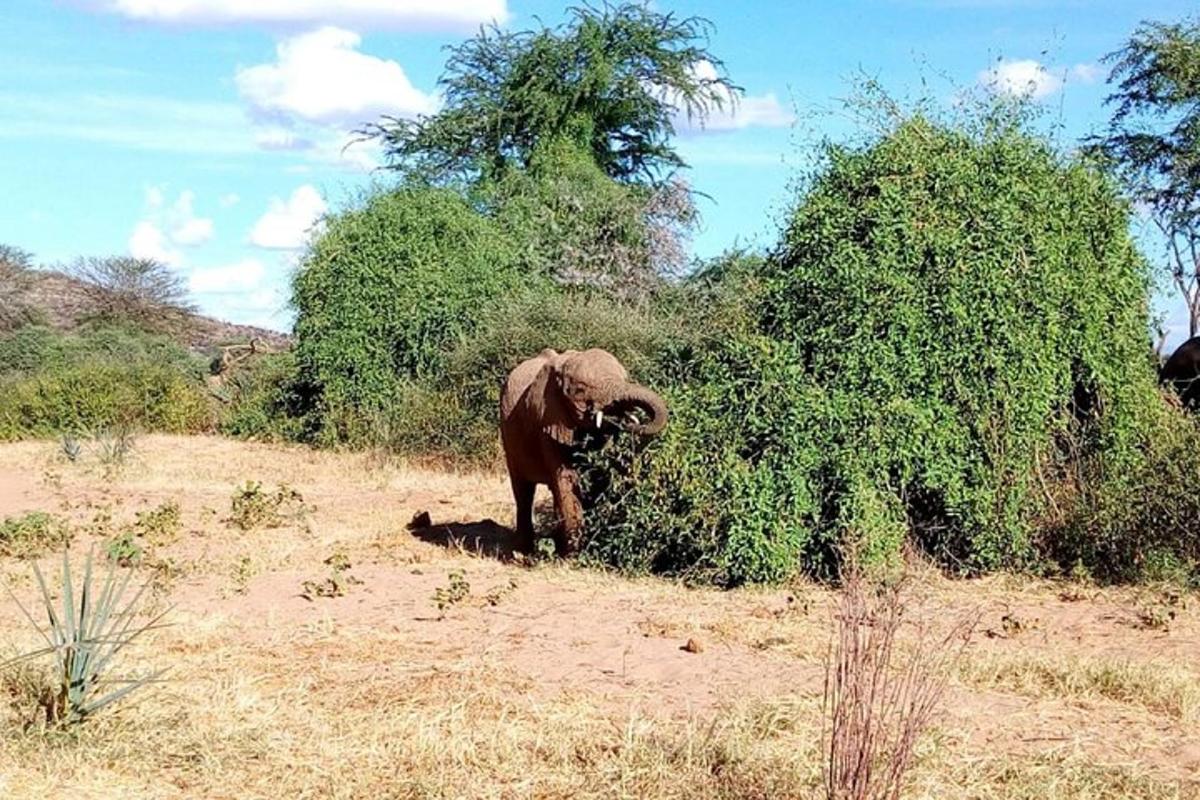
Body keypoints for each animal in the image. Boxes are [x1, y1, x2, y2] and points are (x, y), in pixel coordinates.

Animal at [496, 350, 667, 556]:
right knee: (524, 491)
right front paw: (574, 557)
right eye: (580, 390)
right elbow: (568, 479)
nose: (627, 421)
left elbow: (599, 476)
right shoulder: (547, 421)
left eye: (625, 378)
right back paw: (523, 552)